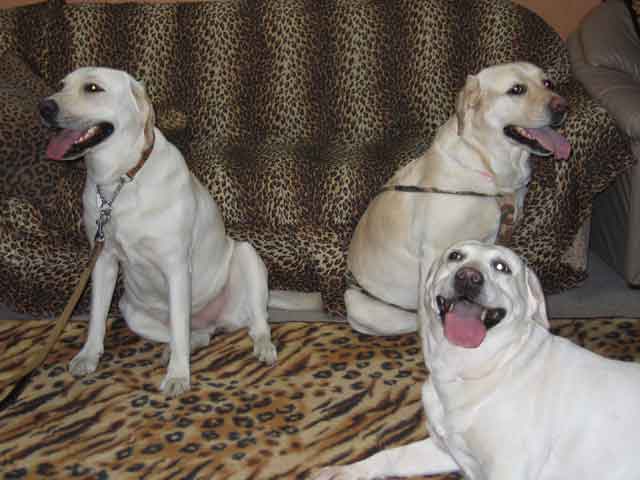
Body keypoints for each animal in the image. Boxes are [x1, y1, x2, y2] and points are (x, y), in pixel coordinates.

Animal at [38, 67, 277, 397]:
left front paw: (178, 376)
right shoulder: (102, 260)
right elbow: (97, 317)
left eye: (93, 88)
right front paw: (88, 356)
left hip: (247, 255)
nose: (44, 107)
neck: (120, 179)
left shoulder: (175, 266)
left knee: (255, 323)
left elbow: (178, 327)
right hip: (130, 309)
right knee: (195, 334)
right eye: (61, 85)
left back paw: (263, 347)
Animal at [314, 240, 640, 479]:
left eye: (502, 267)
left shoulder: (508, 469)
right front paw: (347, 471)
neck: (468, 369)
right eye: (455, 256)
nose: (468, 277)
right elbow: (392, 454)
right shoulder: (445, 448)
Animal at [345, 62, 570, 336]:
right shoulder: (434, 250)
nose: (562, 106)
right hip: (364, 307)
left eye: (548, 83)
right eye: (517, 89)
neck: (488, 168)